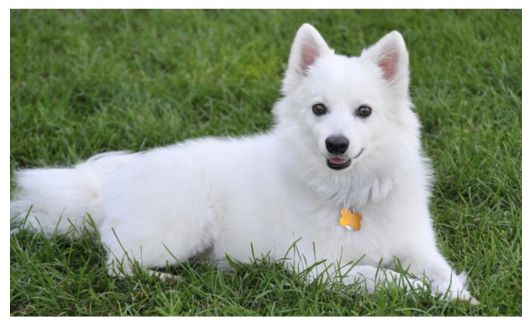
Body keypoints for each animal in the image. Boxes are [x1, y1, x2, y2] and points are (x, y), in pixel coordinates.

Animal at [11, 24, 474, 302]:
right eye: (319, 109)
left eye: (364, 111)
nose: (336, 143)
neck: (350, 194)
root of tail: (106, 188)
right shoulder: (320, 268)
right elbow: (385, 278)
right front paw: (425, 292)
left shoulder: (417, 247)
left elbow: (442, 271)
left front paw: (456, 293)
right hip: (182, 227)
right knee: (118, 264)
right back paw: (164, 280)